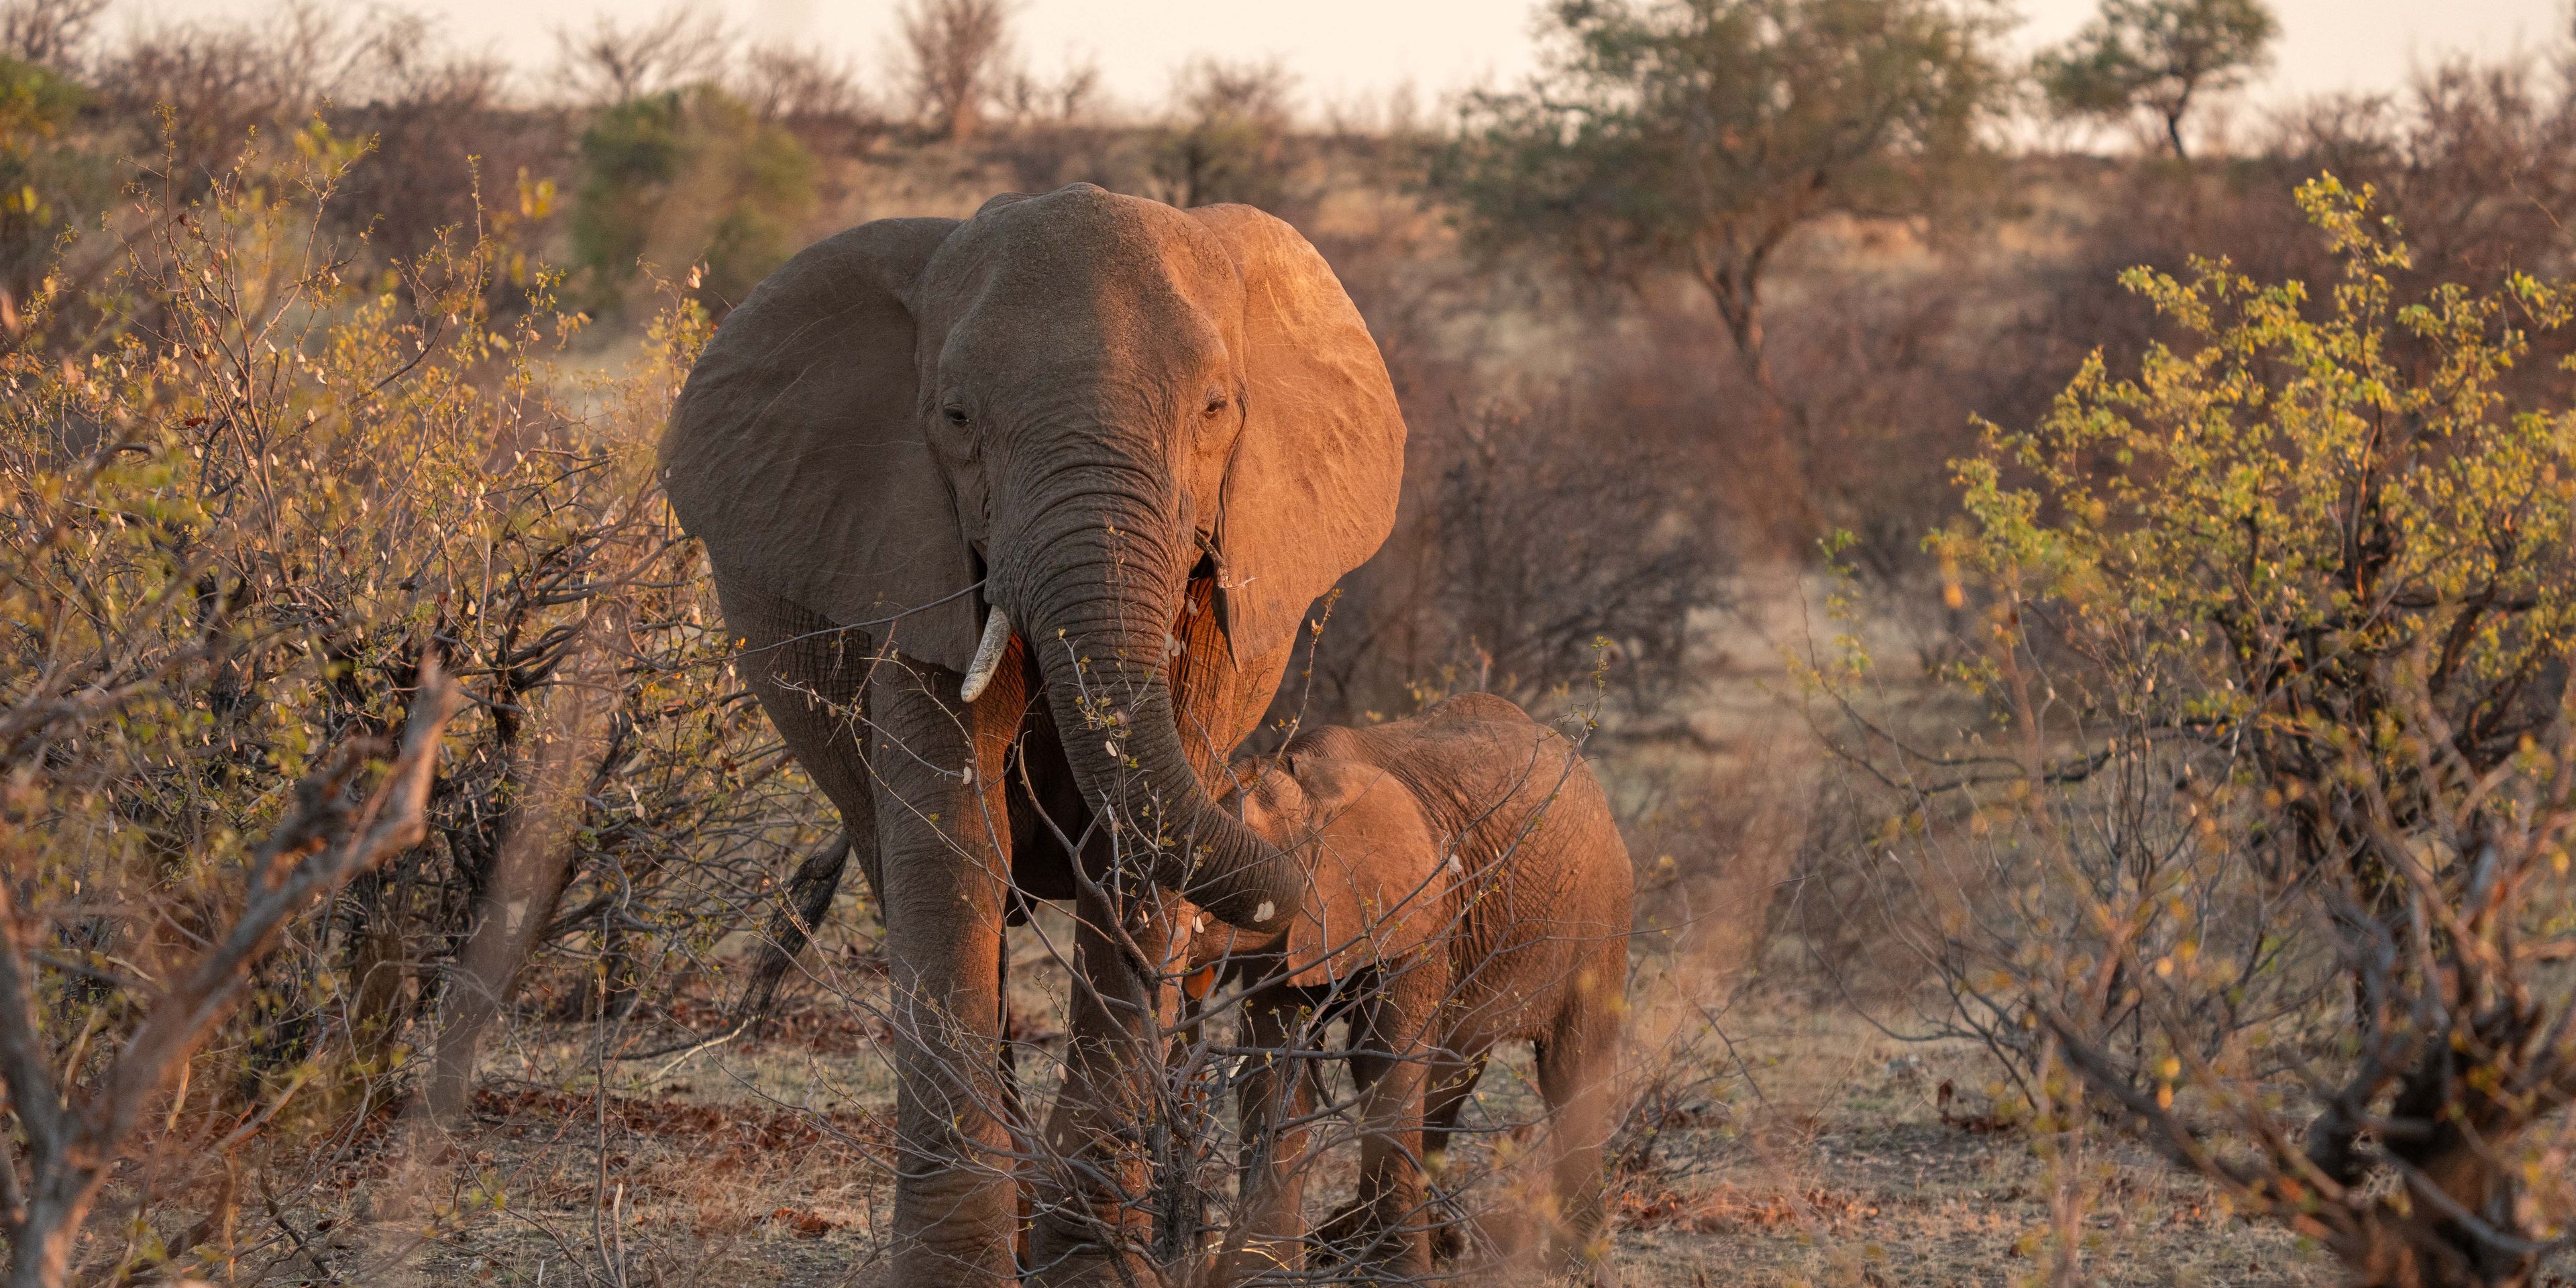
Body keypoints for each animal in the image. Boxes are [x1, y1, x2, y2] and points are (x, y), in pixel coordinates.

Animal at [658, 183, 1405, 1285]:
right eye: (957, 419)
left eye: (1217, 410)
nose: (1298, 896)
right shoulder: (908, 548)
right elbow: (950, 846)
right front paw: (960, 1274)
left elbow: (1134, 858)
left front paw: (1092, 1269)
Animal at [1209, 692, 1631, 1286]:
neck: (1309, 780)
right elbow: (1272, 1059)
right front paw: (1260, 1275)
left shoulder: (1424, 911)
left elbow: (1385, 1056)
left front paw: (1397, 1277)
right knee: (1455, 1072)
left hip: (1599, 910)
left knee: (1572, 1066)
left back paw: (1577, 1270)